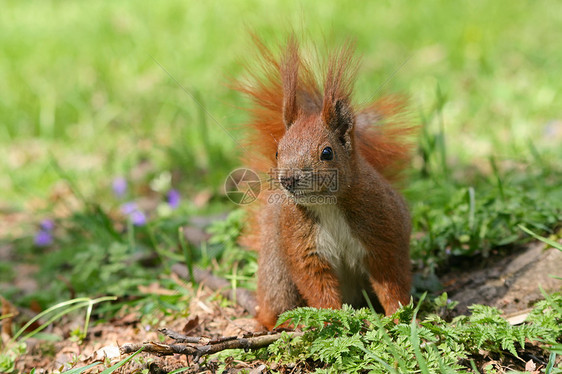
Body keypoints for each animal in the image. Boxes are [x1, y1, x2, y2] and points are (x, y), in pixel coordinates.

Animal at [234, 36, 414, 328]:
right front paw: (332, 320)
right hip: (277, 272)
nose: (288, 179)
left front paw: (399, 318)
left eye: (326, 153)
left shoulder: (383, 231)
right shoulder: (302, 245)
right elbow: (316, 285)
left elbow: (391, 281)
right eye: (278, 152)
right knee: (274, 310)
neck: (327, 204)